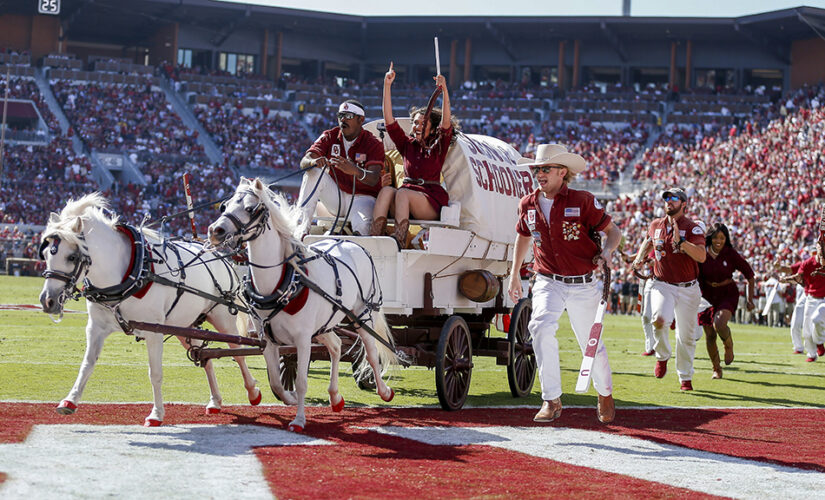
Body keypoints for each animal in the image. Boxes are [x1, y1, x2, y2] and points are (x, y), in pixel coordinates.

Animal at [39, 193, 260, 428]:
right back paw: (215, 401)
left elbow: (155, 373)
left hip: (222, 317)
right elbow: (87, 364)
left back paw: (253, 392)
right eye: (45, 253)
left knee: (237, 352)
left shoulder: (154, 331)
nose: (48, 301)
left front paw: (156, 414)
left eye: (71, 257)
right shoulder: (96, 328)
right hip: (184, 325)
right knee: (204, 356)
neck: (131, 272)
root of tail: (218, 254)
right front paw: (70, 400)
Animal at [208, 178, 398, 432]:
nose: (215, 231)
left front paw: (299, 420)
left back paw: (384, 391)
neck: (281, 285)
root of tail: (354, 243)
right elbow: (276, 382)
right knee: (337, 346)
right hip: (324, 325)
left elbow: (301, 381)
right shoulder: (269, 339)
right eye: (225, 205)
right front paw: (286, 398)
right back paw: (335, 397)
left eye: (249, 208)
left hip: (363, 315)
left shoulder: (302, 338)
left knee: (371, 353)